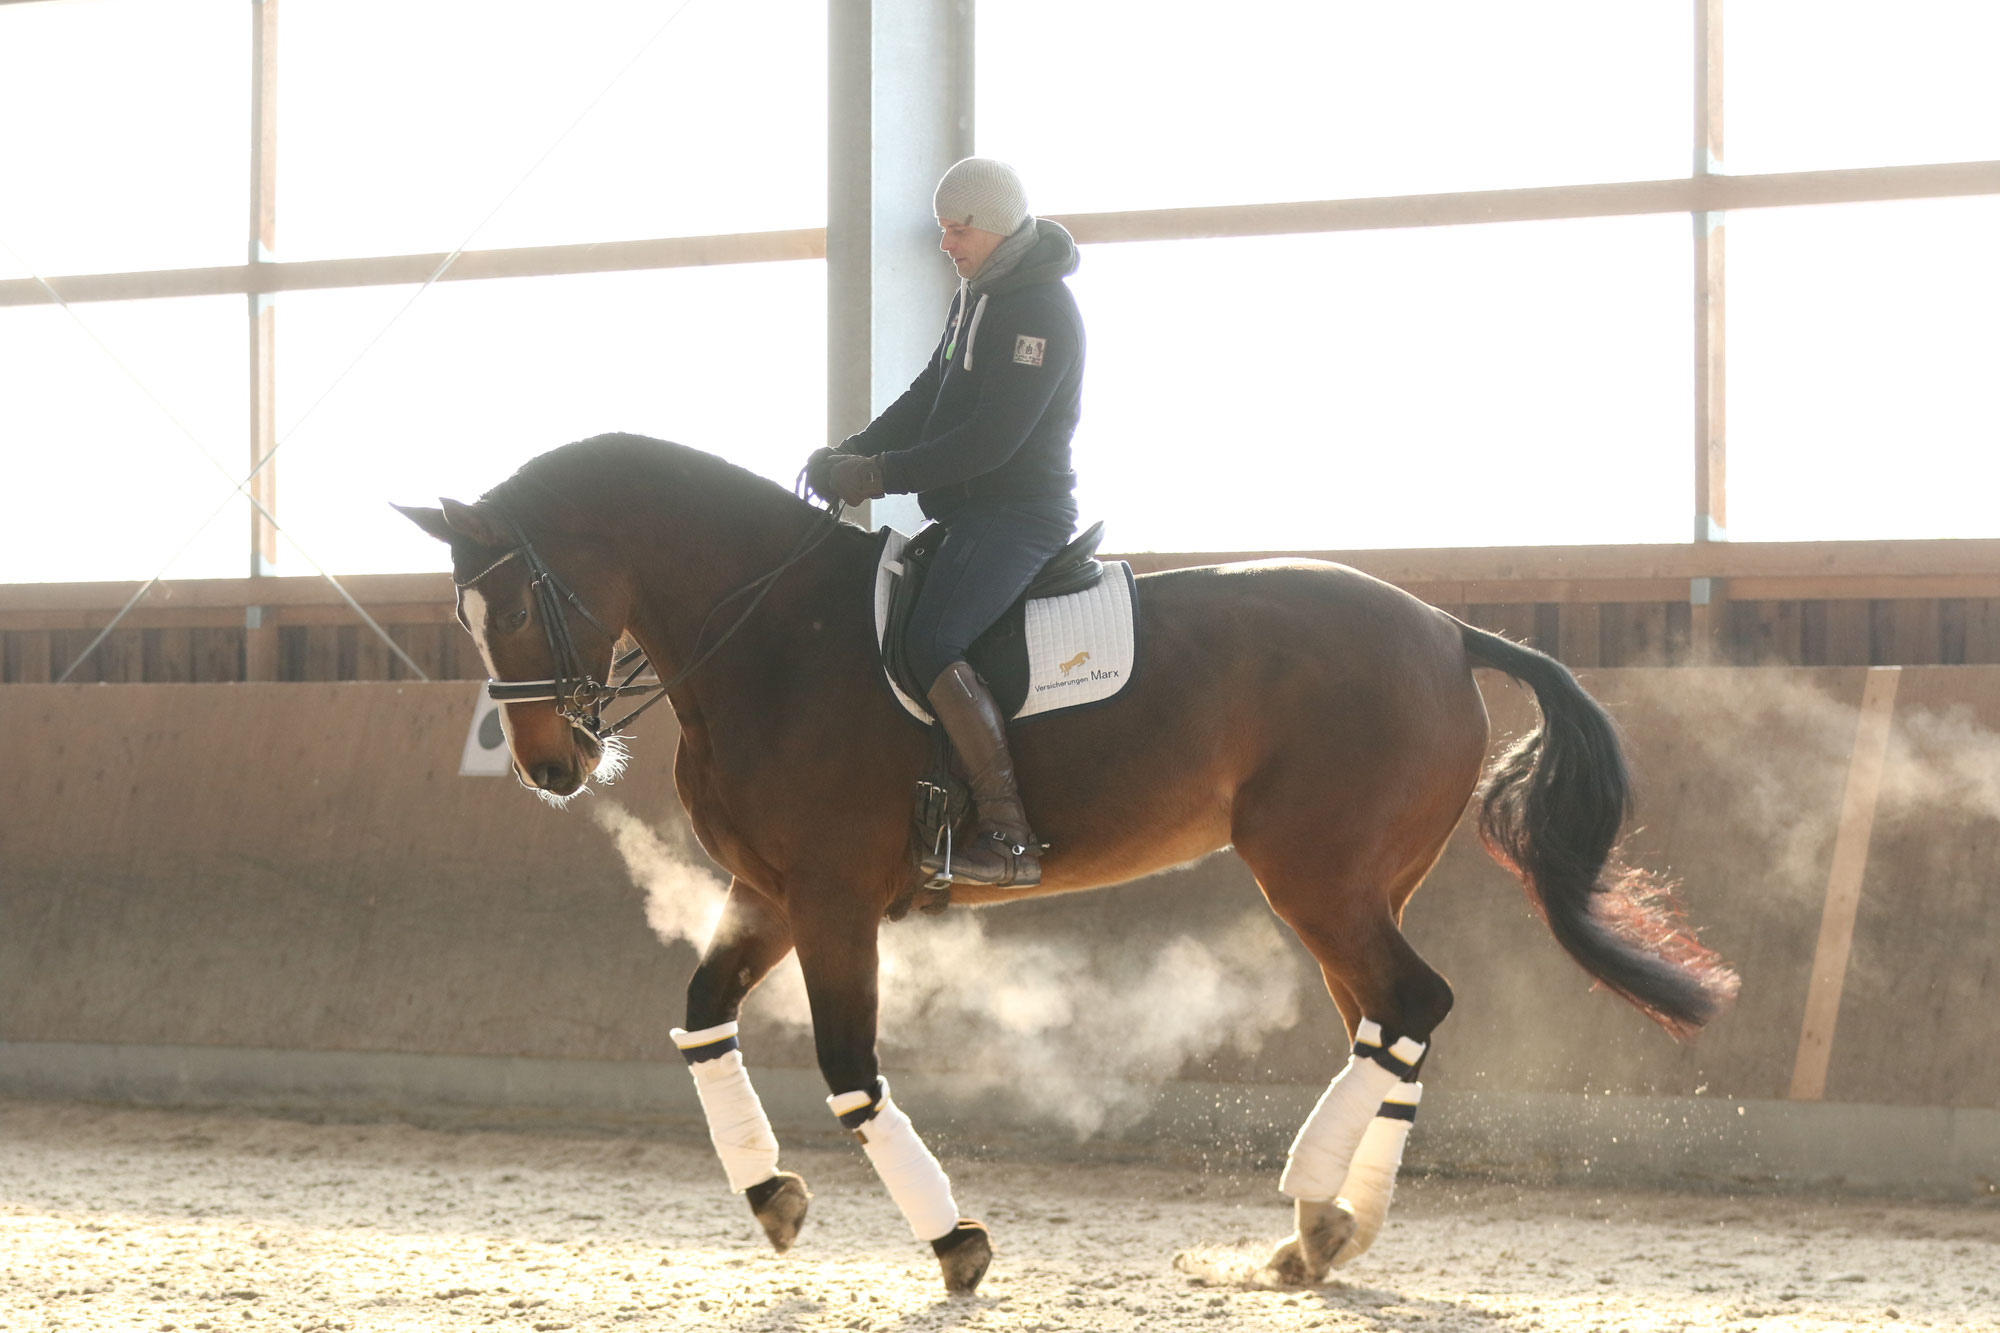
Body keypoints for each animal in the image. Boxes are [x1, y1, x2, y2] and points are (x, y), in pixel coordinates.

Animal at [394, 430, 1736, 1288]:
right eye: (464, 613)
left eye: (521, 602)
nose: (550, 765)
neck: (770, 631)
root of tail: (1447, 628)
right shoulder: (766, 892)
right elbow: (698, 1017)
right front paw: (770, 1195)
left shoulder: (830, 896)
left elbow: (847, 1068)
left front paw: (954, 1244)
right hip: (1352, 883)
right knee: (1386, 1022)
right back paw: (1324, 1229)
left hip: (1314, 872)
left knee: (1410, 1001)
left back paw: (1309, 1204)